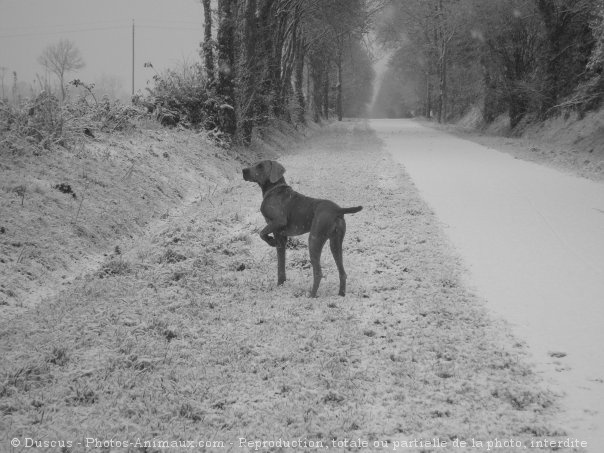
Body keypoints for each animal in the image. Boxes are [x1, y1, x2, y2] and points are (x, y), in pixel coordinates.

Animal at [242, 159, 364, 296]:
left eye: (260, 166)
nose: (243, 170)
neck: (273, 189)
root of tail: (338, 210)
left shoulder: (279, 221)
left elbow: (261, 233)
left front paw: (271, 242)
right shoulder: (281, 237)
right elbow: (280, 265)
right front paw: (280, 284)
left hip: (314, 239)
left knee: (318, 273)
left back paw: (311, 295)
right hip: (336, 243)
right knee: (342, 273)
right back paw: (341, 294)